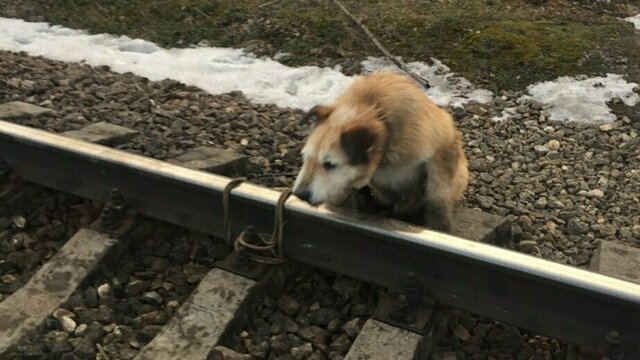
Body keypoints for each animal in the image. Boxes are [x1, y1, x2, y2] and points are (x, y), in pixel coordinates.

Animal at [292, 71, 468, 232]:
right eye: (305, 158)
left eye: (330, 164)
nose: (299, 194)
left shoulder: (443, 145)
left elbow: (437, 196)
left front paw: (440, 226)